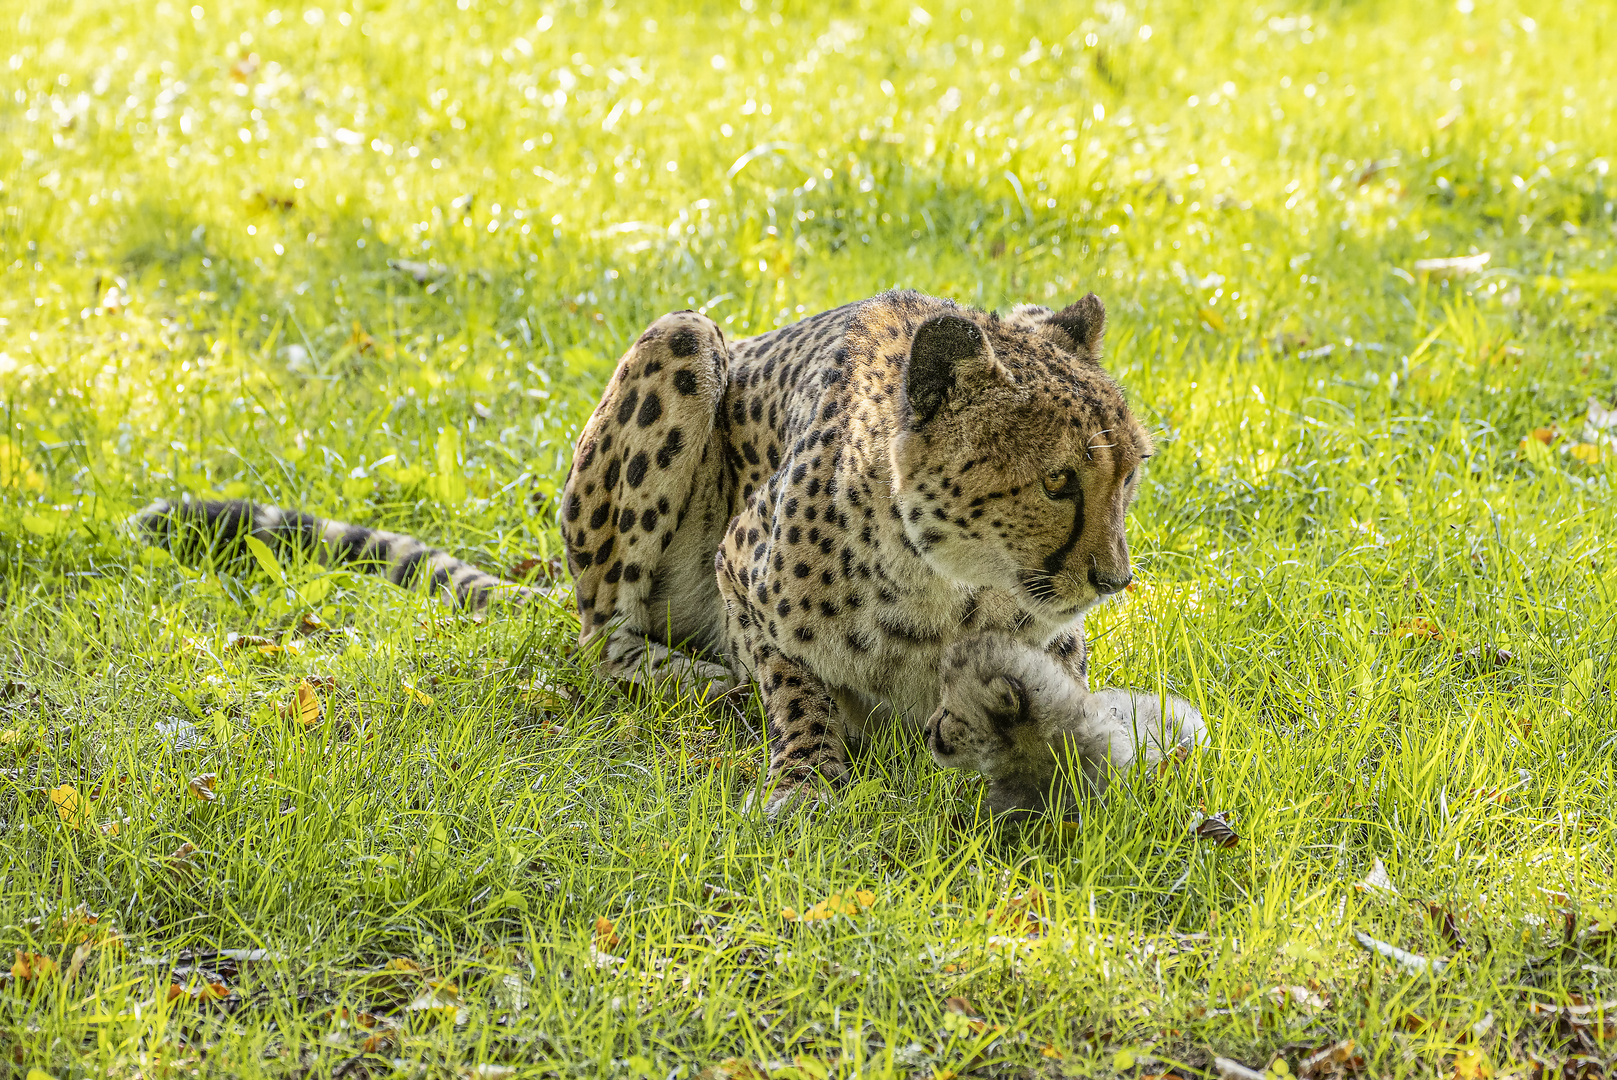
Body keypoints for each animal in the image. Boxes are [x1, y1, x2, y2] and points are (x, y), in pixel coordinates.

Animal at [562, 286, 1157, 808]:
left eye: (1129, 475)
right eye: (1057, 481)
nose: (1116, 581)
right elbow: (793, 686)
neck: (944, 589)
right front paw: (804, 779)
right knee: (602, 637)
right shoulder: (735, 567)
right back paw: (712, 682)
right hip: (685, 330)